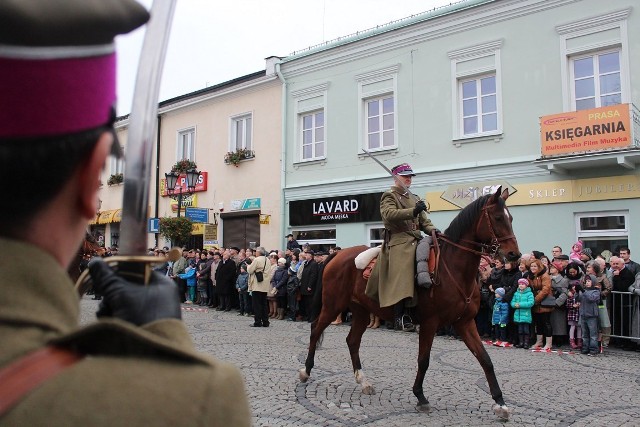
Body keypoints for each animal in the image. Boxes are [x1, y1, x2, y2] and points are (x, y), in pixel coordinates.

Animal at [300, 187, 520, 422]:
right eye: (498, 217)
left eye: (511, 218)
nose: (514, 254)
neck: (453, 268)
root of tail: (336, 254)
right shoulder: (430, 323)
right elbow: (424, 360)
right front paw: (420, 396)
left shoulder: (465, 323)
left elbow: (485, 360)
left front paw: (501, 403)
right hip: (333, 305)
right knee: (315, 329)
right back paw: (306, 371)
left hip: (361, 311)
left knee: (352, 341)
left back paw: (363, 380)